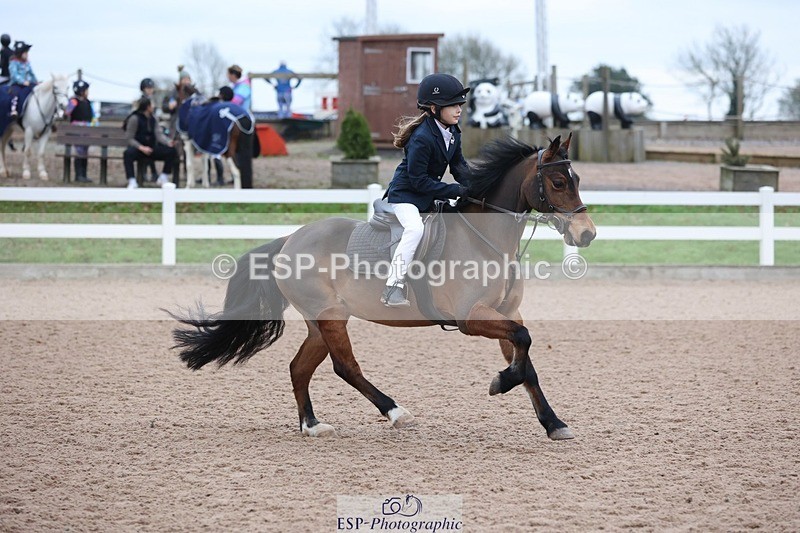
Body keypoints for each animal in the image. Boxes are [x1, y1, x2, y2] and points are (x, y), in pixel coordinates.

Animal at [169, 133, 596, 440]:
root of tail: (290, 239)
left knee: (299, 367)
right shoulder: (472, 317)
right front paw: (500, 382)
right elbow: (523, 345)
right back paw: (396, 412)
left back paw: (312, 425)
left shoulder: (506, 313)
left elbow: (527, 361)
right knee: (345, 366)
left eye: (576, 180)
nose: (587, 234)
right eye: (559, 182)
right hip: (331, 317)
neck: (486, 239)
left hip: (320, 322)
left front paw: (553, 423)